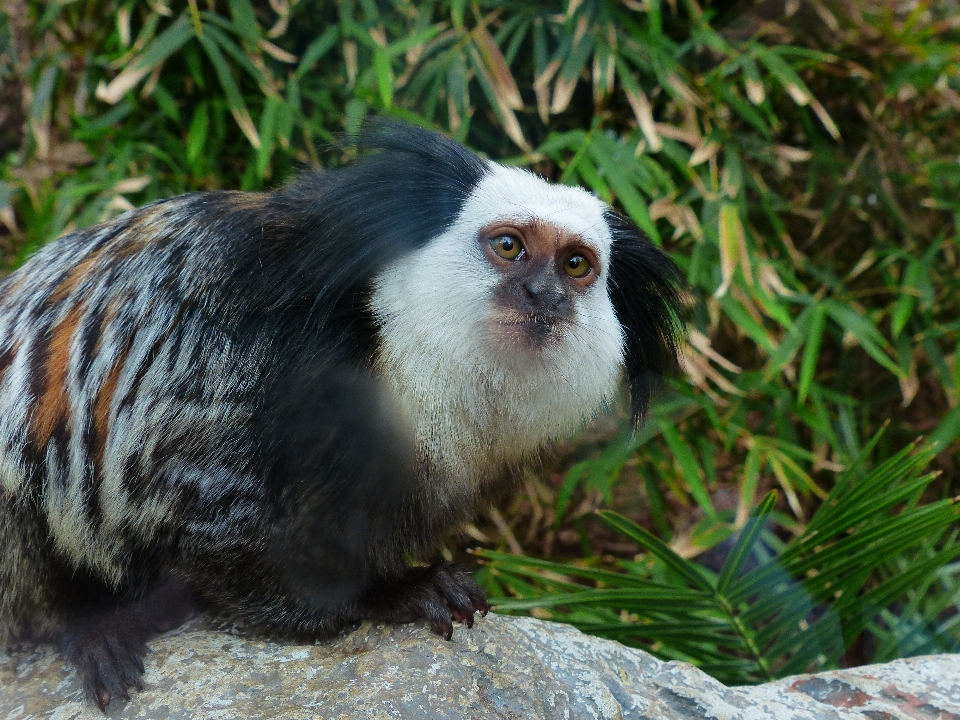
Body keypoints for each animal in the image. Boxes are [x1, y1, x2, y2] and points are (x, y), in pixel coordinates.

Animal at [0, 124, 684, 708]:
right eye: (510, 246)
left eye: (576, 265)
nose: (544, 295)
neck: (393, 349)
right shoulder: (257, 372)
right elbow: (202, 516)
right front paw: (387, 596)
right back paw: (90, 627)